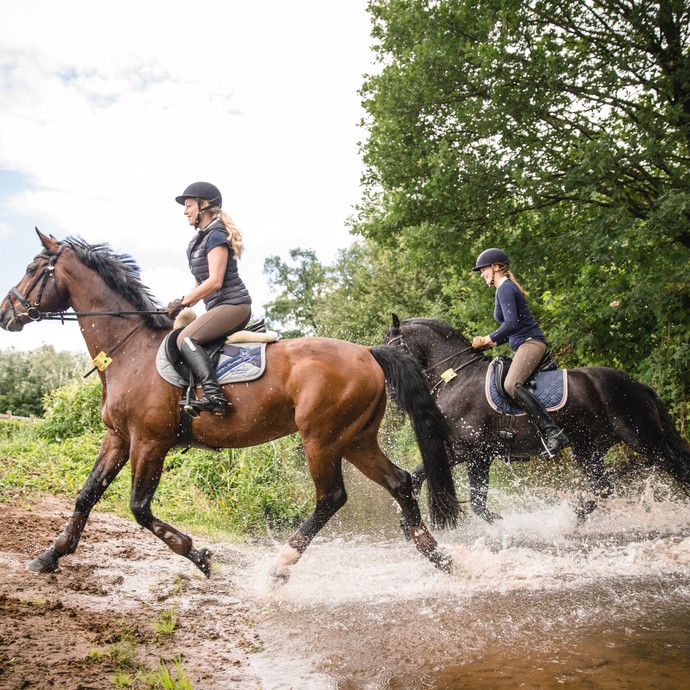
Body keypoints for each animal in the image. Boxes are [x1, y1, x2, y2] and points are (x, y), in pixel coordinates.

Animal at [1, 231, 462, 580]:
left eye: (31, 269)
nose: (6, 313)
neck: (128, 350)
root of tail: (368, 352)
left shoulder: (150, 442)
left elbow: (139, 508)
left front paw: (199, 555)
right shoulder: (118, 437)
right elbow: (86, 496)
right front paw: (48, 556)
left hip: (322, 438)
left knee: (331, 497)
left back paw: (279, 566)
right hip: (356, 438)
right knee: (399, 482)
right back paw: (440, 556)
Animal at [384, 314, 684, 520]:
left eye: (392, 350)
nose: (393, 395)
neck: (456, 376)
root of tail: (636, 384)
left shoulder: (471, 451)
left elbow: (474, 502)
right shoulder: (470, 452)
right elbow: (427, 478)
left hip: (643, 438)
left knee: (674, 466)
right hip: (588, 448)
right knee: (603, 488)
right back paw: (574, 516)